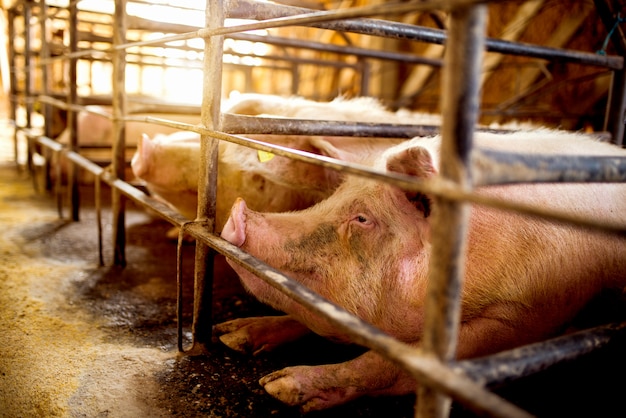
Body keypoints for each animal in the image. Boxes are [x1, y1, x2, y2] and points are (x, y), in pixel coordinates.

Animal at [216, 130, 624, 412]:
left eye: (362, 219)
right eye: (332, 198)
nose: (237, 213)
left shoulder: (526, 316)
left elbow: (386, 362)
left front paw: (279, 387)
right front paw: (231, 336)